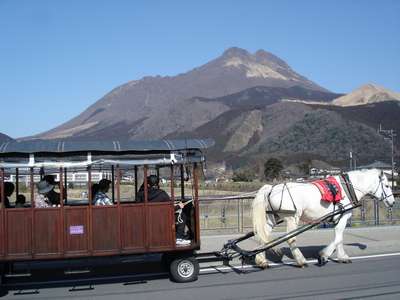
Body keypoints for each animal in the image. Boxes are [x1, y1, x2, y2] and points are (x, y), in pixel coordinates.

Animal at [252, 168, 396, 268]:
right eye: (387, 186)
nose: (393, 202)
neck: (347, 188)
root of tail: (271, 188)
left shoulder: (338, 217)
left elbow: (339, 237)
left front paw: (342, 257)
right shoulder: (344, 216)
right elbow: (338, 238)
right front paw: (323, 255)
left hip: (272, 218)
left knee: (263, 236)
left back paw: (261, 261)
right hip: (292, 217)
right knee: (291, 238)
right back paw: (301, 260)